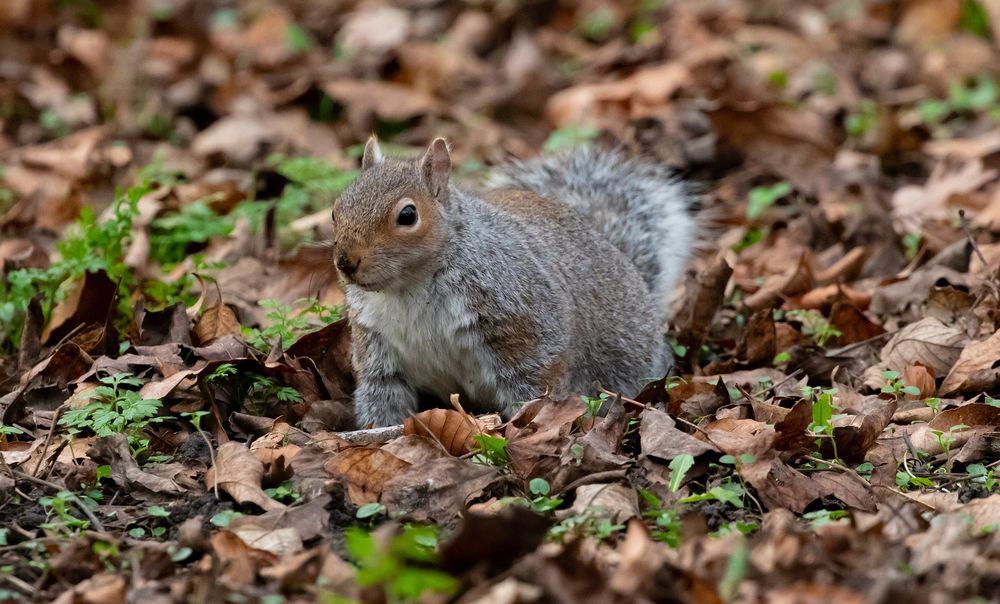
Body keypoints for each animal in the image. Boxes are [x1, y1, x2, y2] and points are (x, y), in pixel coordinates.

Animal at [332, 137, 699, 428]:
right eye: (336, 209)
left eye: (408, 215)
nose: (345, 262)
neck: (408, 288)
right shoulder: (376, 342)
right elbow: (382, 391)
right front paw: (380, 431)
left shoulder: (519, 312)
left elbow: (536, 377)